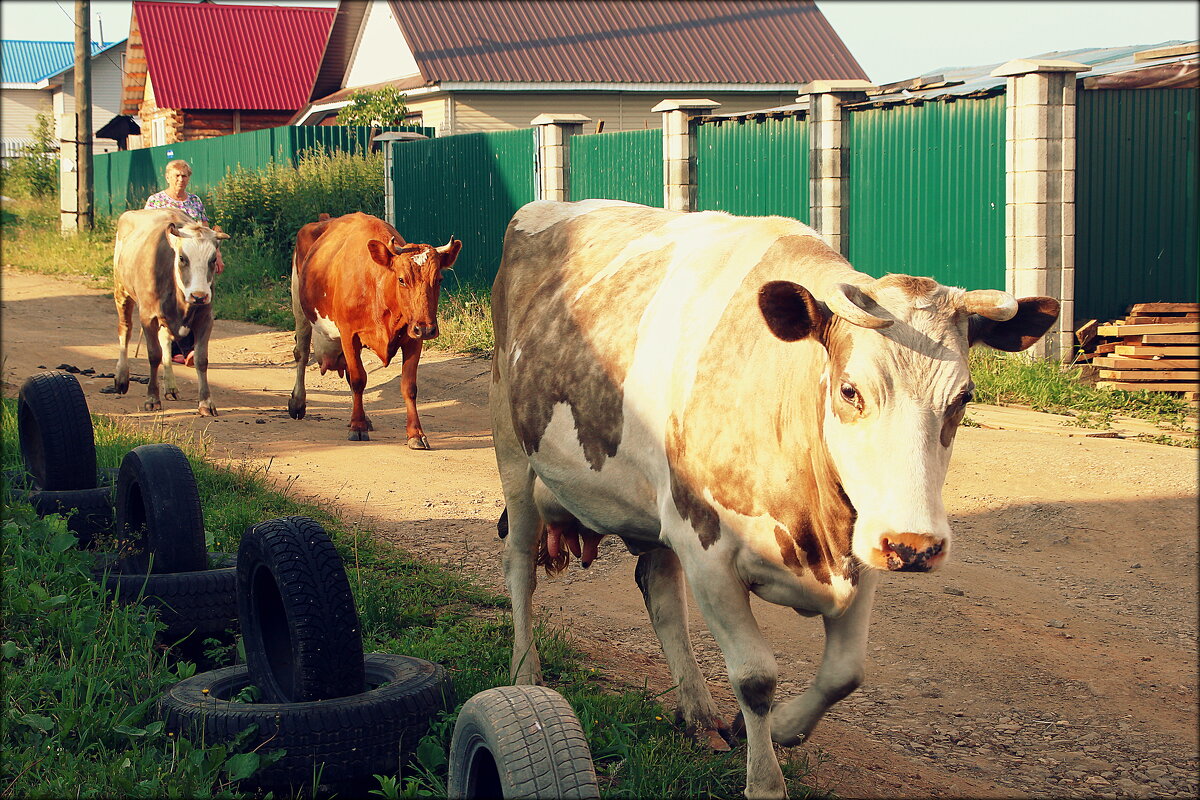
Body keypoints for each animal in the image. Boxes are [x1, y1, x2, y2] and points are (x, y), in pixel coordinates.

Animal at [113, 206, 228, 417]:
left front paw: (206, 402)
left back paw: (171, 386)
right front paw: (152, 398)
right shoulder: (148, 316)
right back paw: (122, 378)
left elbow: (201, 359)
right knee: (125, 330)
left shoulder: (205, 318)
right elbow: (153, 355)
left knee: (165, 339)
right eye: (182, 258)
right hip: (121, 290)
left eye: (213, 258)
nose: (199, 295)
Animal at [285, 212, 463, 448]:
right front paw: (357, 427)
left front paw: (415, 433)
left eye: (439, 280)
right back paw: (298, 402)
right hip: (299, 304)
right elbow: (358, 379)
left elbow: (409, 386)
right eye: (401, 279)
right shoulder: (349, 334)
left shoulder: (413, 339)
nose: (426, 328)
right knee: (302, 354)